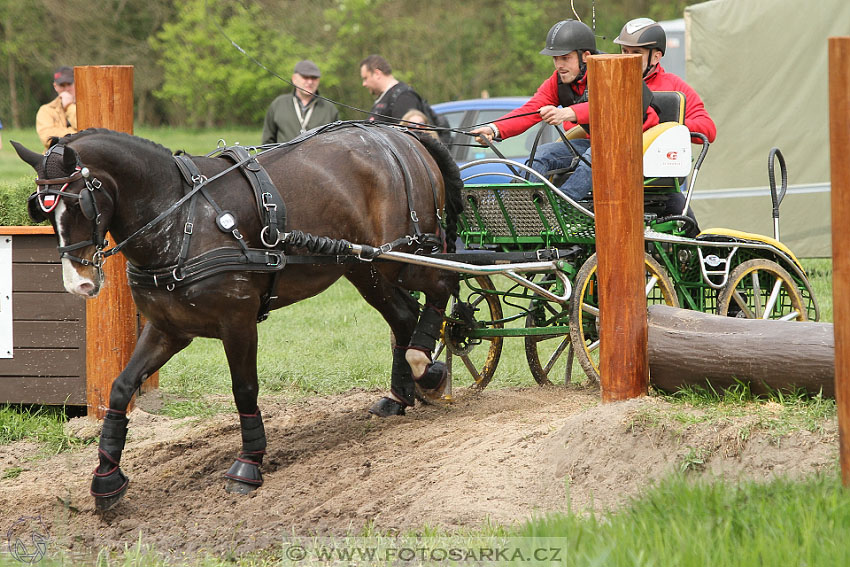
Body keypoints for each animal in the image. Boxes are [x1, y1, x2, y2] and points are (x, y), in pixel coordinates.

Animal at [11, 122, 464, 512]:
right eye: (43, 210)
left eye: (80, 204)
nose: (79, 283)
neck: (180, 218)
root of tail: (400, 135)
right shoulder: (168, 329)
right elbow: (121, 389)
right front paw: (106, 476)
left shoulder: (238, 322)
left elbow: (244, 390)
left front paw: (249, 463)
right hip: (365, 268)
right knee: (403, 316)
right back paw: (401, 394)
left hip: (403, 255)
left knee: (443, 286)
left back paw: (427, 367)